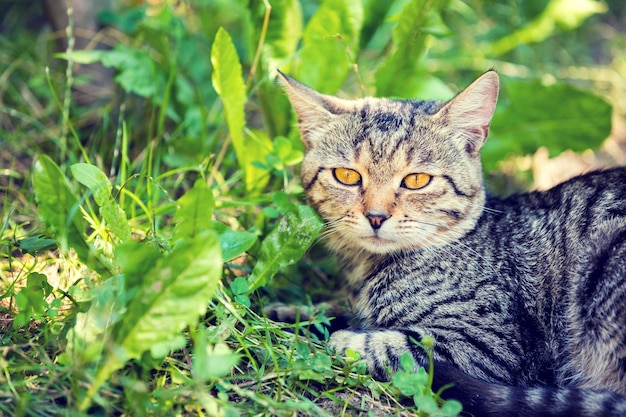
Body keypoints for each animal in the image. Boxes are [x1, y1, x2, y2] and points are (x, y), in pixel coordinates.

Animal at [276, 69, 624, 416]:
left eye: (416, 180)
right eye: (347, 176)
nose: (375, 216)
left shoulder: (490, 344)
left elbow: (398, 345)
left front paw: (343, 340)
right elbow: (329, 312)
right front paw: (290, 313)